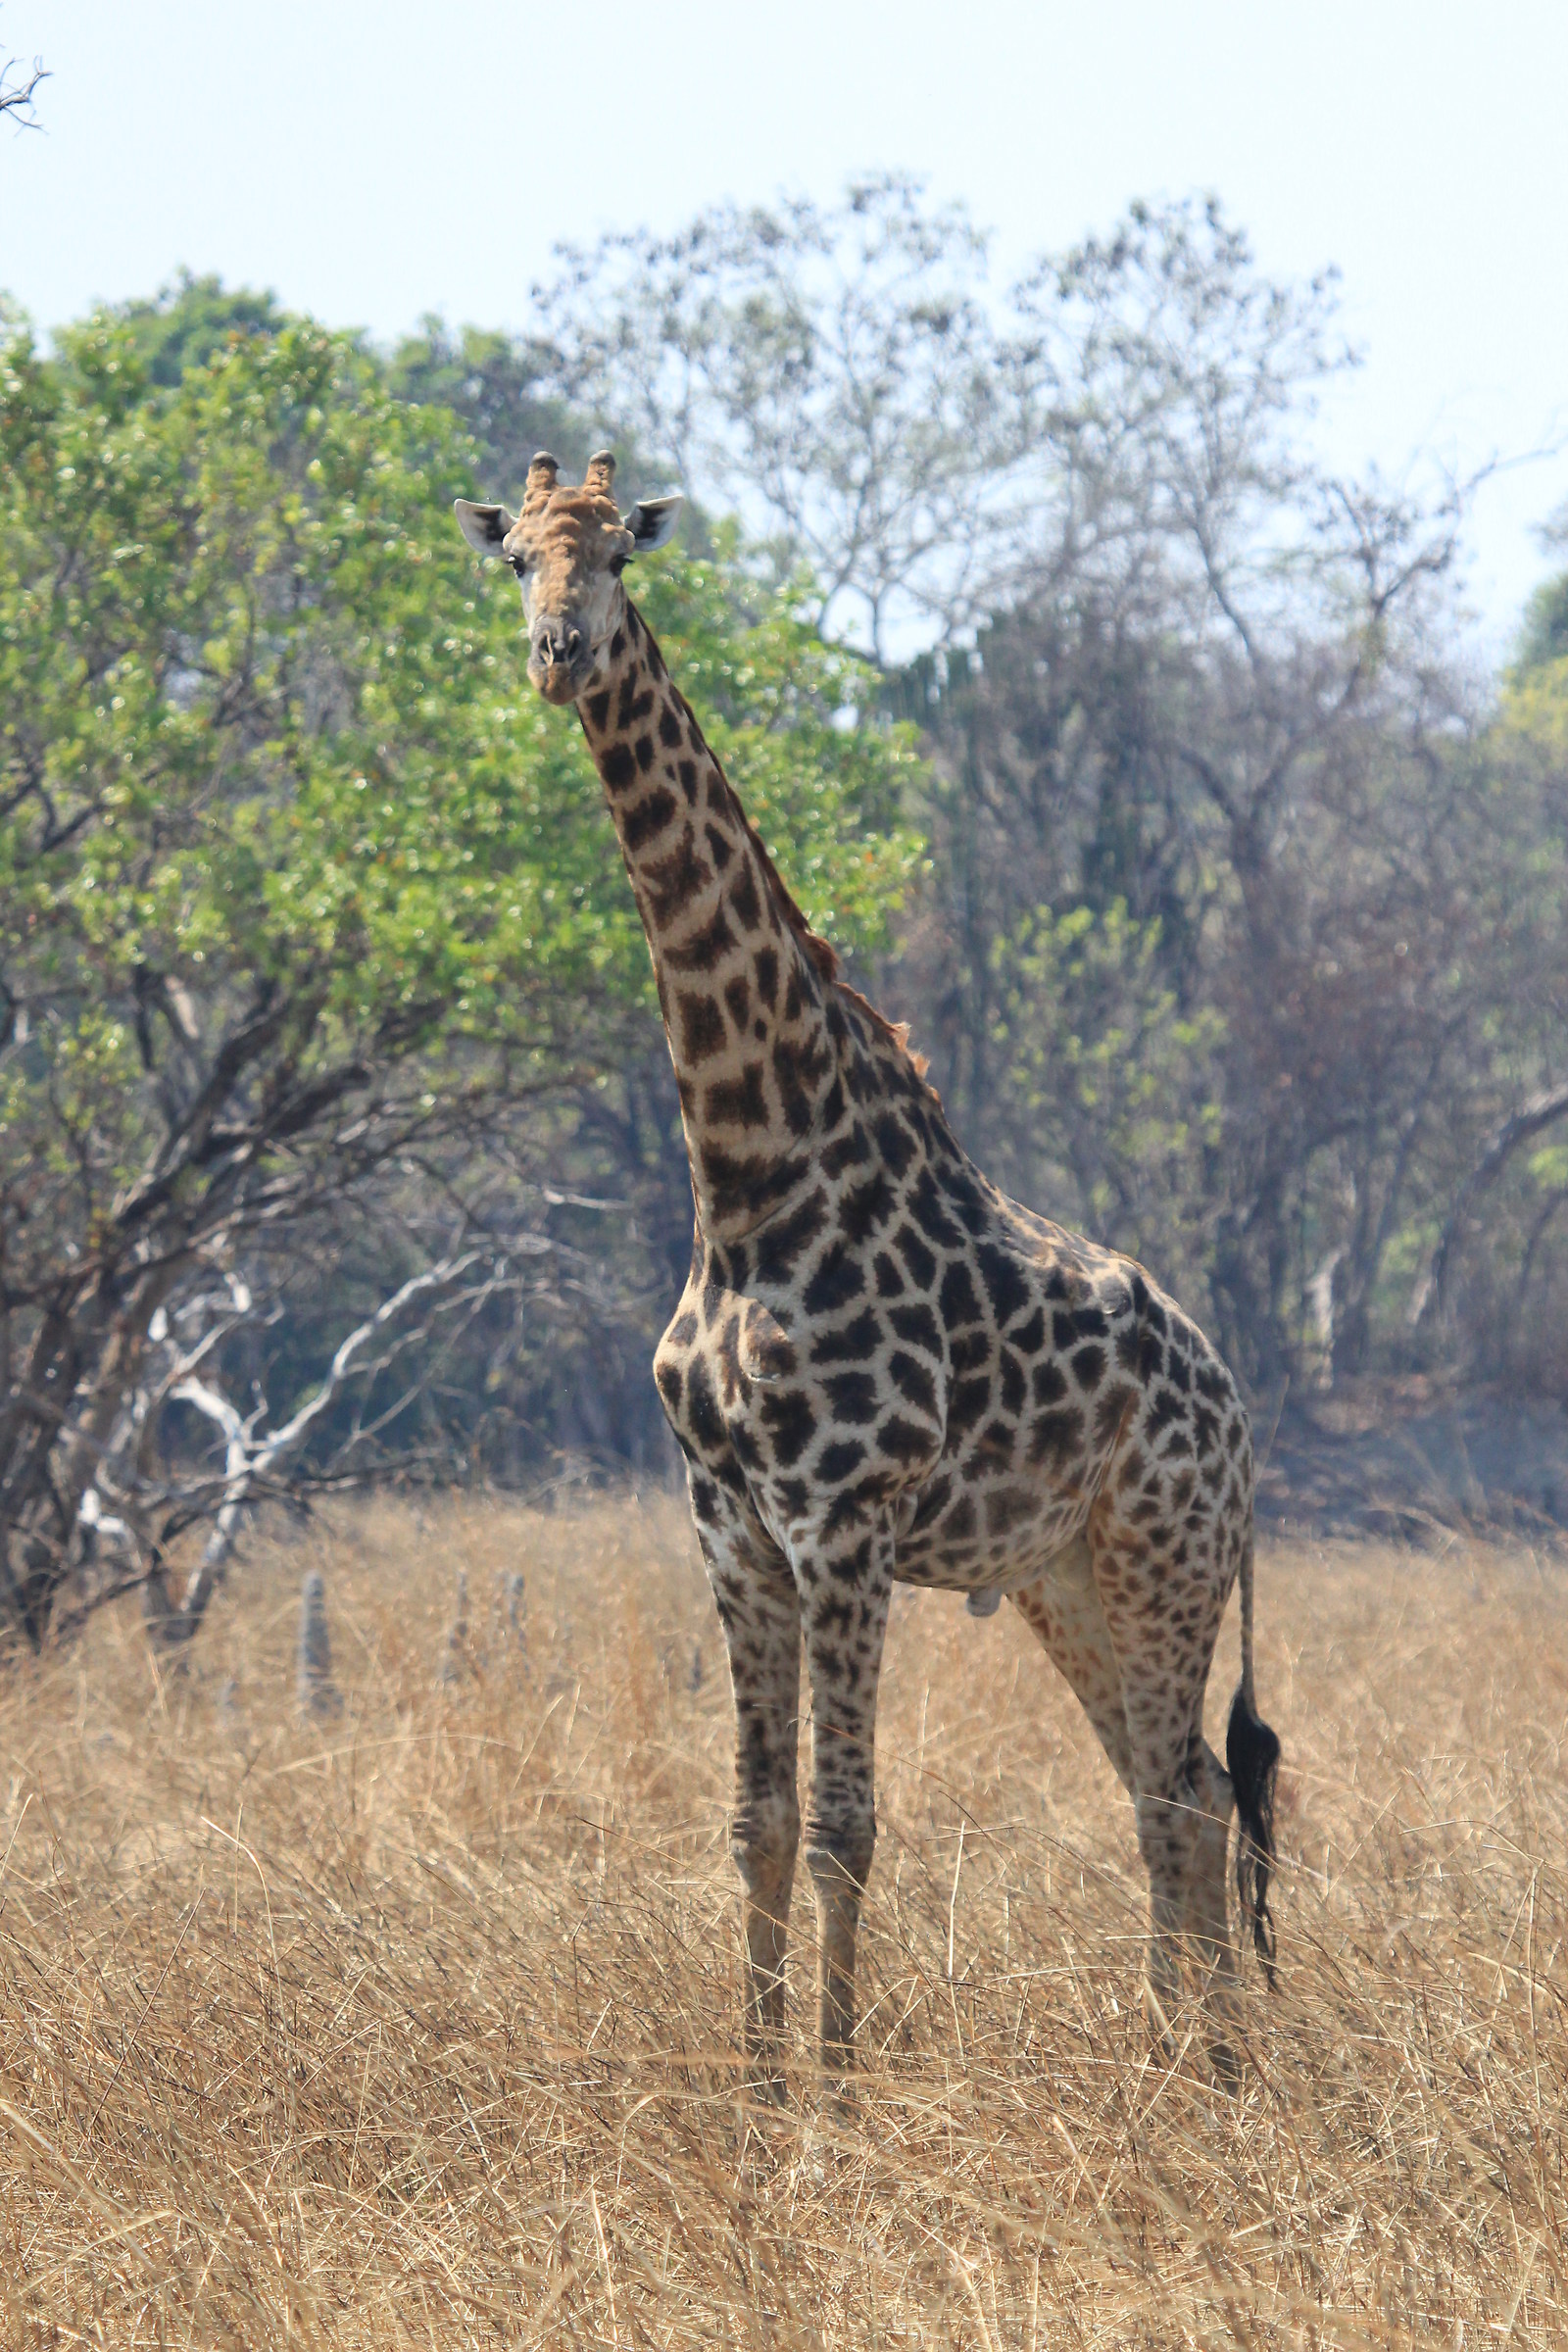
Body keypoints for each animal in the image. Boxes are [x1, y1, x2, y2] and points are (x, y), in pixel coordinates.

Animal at [455, 452, 1282, 2092]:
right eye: (513, 559)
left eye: (619, 560)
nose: (558, 655)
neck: (746, 1167)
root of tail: (1236, 1412)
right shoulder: (728, 1525)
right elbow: (758, 1824)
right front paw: (757, 2088)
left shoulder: (842, 1518)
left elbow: (846, 1826)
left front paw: (835, 2102)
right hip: (1068, 1581)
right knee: (1174, 1792)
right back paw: (1179, 2066)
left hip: (1166, 1559)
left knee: (1190, 1792)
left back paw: (1207, 2075)